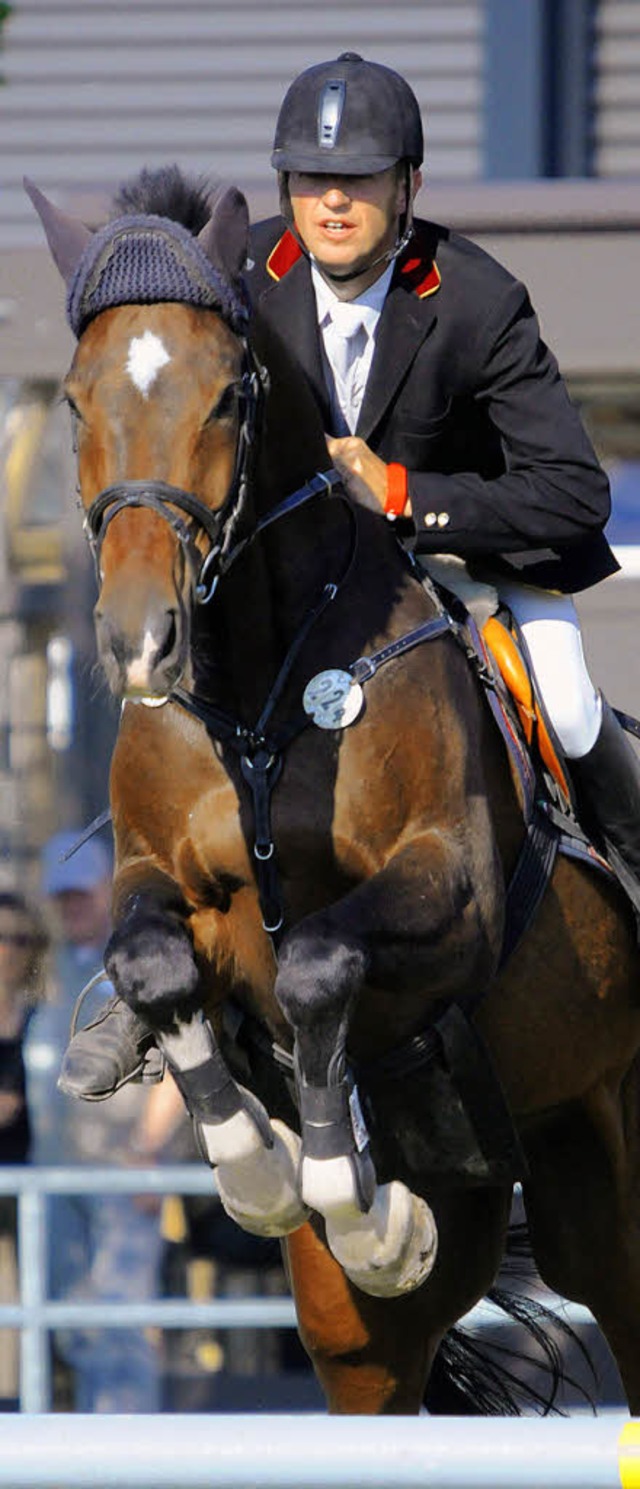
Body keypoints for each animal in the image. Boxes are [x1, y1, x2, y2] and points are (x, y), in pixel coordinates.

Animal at [26, 169, 640, 1411]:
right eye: (73, 399)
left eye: (227, 397)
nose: (139, 643)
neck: (262, 680)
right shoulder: (159, 884)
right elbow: (155, 966)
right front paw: (273, 1172)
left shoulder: (452, 894)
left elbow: (317, 959)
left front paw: (352, 1203)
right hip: (435, 1258)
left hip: (613, 1177)